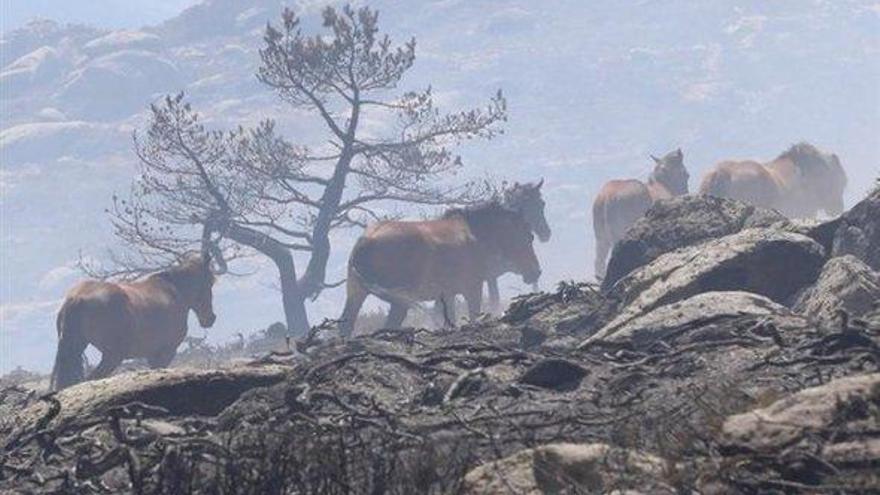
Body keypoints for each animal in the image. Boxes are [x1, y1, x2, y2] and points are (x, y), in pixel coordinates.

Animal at [51, 256, 218, 392]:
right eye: (210, 282)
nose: (210, 318)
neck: (173, 291)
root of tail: (76, 298)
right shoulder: (165, 353)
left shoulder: (152, 356)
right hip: (112, 356)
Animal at [338, 202, 540, 338]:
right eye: (528, 236)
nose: (536, 272)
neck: (475, 234)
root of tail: (365, 241)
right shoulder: (472, 288)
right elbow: (473, 316)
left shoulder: (447, 295)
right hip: (399, 300)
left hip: (356, 294)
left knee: (346, 326)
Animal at [484, 180, 552, 312]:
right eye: (526, 205)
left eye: (542, 204)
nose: (546, 234)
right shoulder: (491, 276)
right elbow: (494, 300)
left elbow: (535, 286)